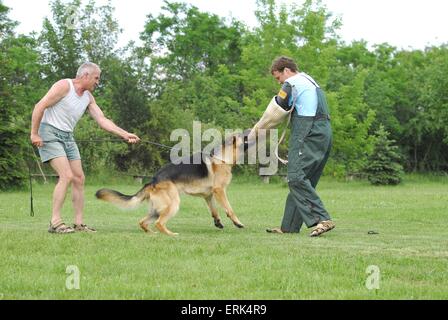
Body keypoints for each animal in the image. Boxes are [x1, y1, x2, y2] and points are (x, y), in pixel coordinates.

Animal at [95, 132, 248, 235]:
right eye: (242, 135)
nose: (248, 131)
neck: (222, 158)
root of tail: (153, 180)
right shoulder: (219, 191)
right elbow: (229, 209)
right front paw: (238, 223)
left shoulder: (208, 196)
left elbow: (214, 210)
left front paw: (218, 222)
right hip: (173, 204)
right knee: (159, 223)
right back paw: (171, 234)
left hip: (156, 210)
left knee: (143, 222)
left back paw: (152, 234)